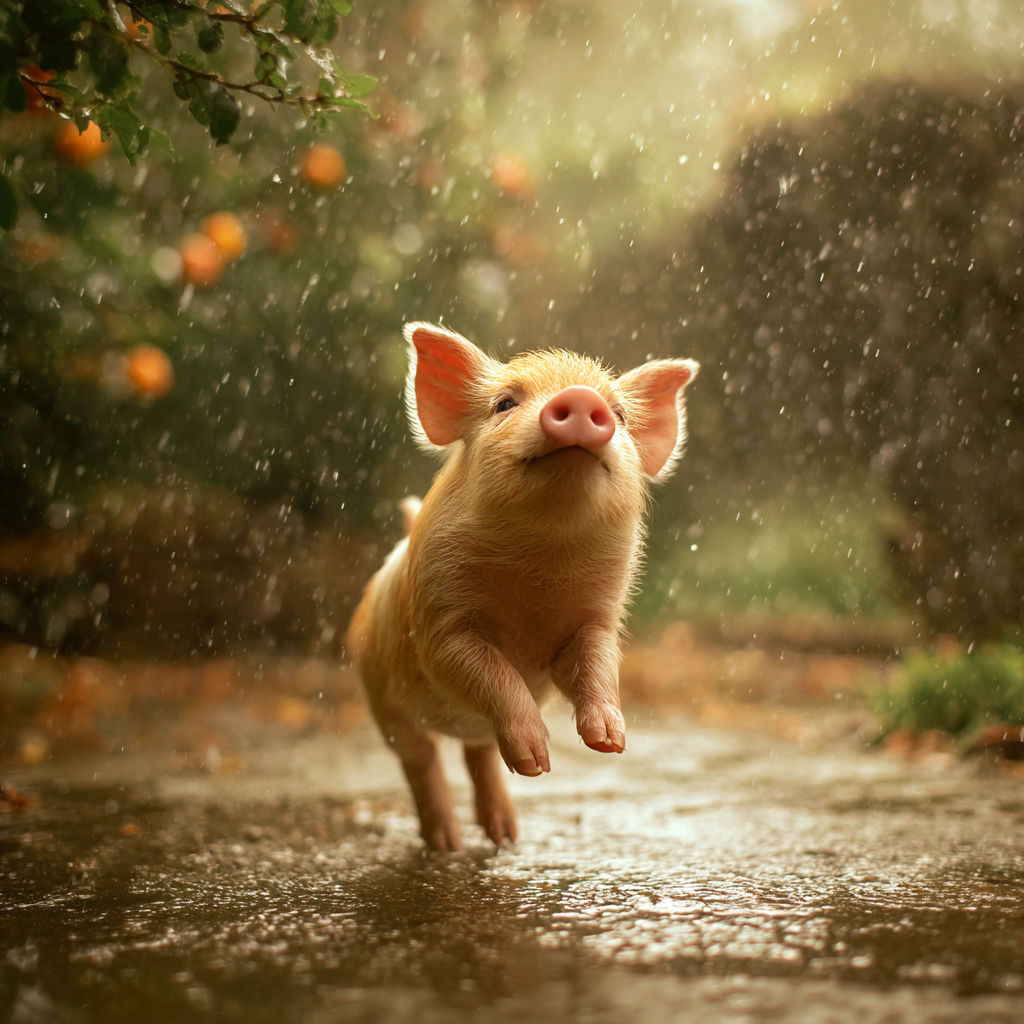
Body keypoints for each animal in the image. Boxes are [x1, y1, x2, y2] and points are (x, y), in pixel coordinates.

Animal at [346, 322, 698, 851]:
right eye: (504, 404)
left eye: (618, 412)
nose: (581, 398)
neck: (541, 568)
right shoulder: (440, 627)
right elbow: (493, 672)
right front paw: (537, 765)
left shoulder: (597, 620)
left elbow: (598, 664)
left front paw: (609, 743)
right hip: (383, 701)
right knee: (421, 759)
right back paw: (446, 843)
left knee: (477, 753)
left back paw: (505, 838)